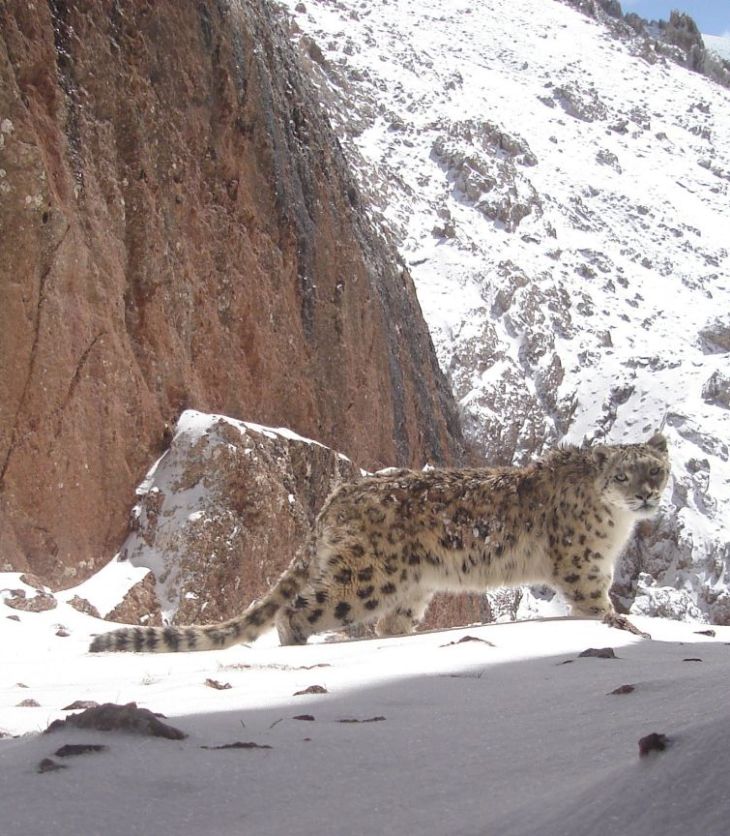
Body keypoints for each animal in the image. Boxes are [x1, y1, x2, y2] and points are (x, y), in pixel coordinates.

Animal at [89, 433, 669, 652]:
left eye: (656, 469)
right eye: (623, 474)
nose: (645, 494)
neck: (617, 530)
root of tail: (338, 495)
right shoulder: (583, 565)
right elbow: (596, 605)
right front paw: (626, 625)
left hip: (410, 589)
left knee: (388, 625)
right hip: (367, 578)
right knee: (299, 609)